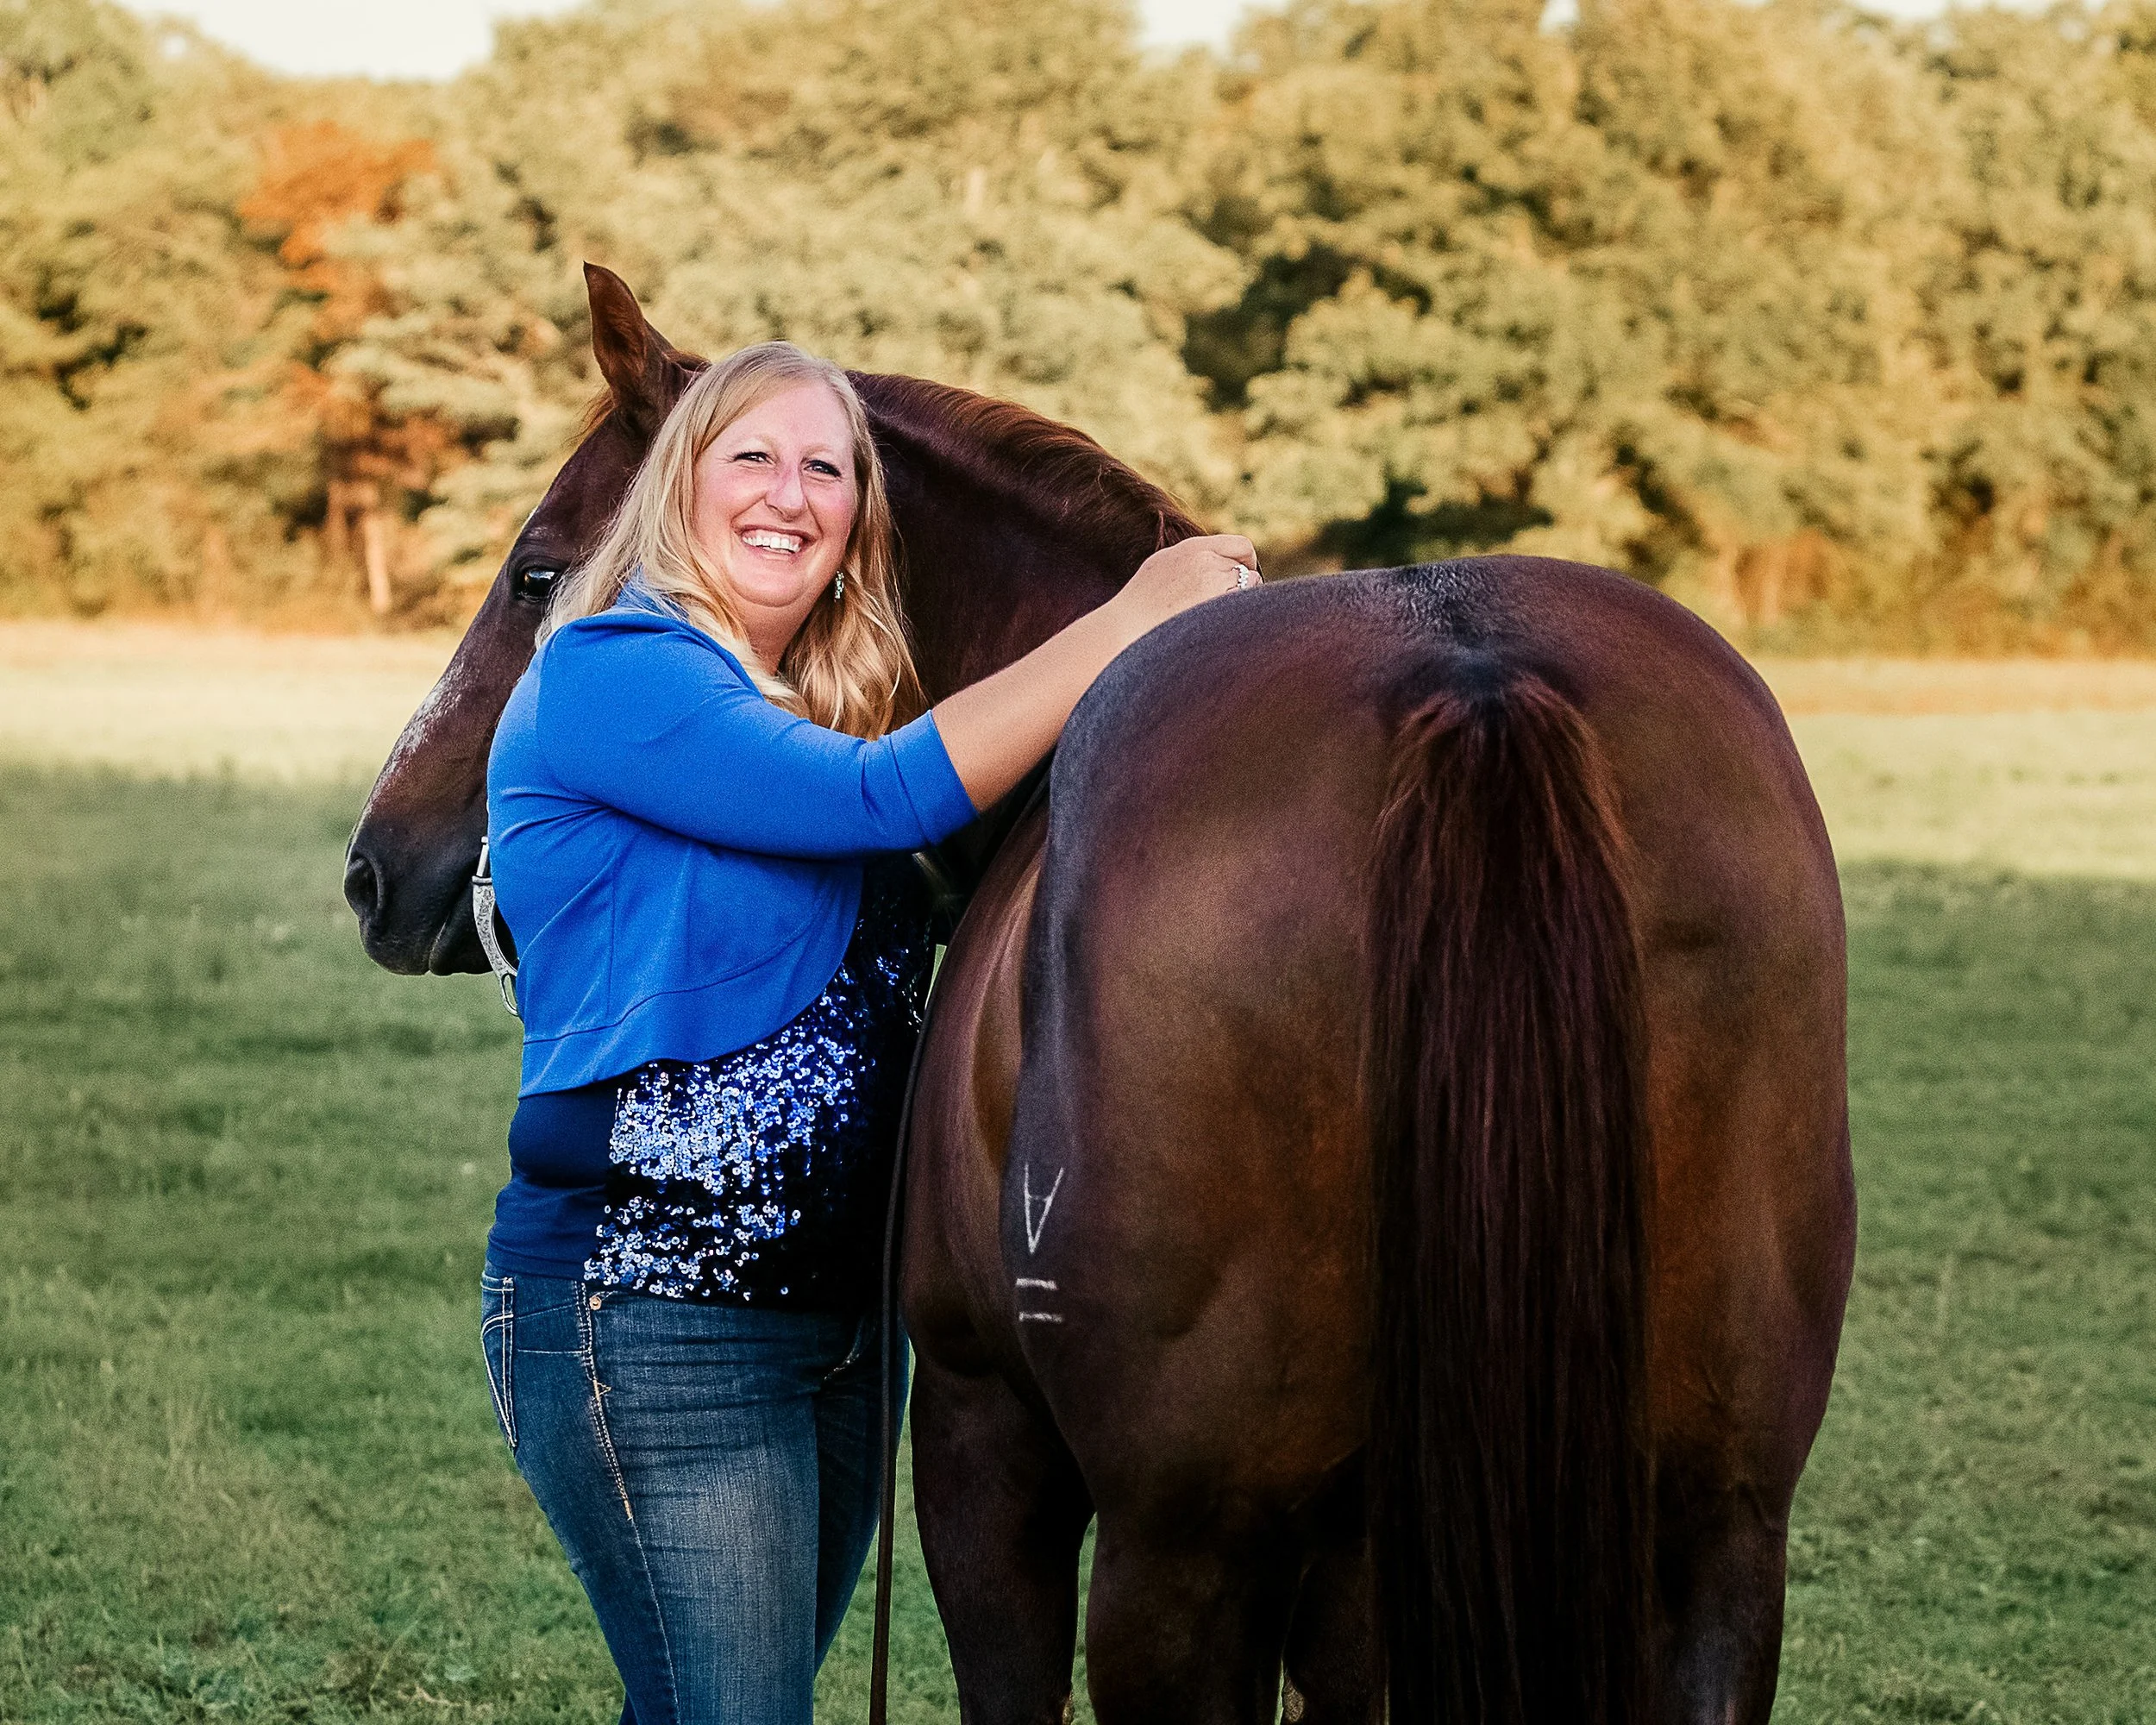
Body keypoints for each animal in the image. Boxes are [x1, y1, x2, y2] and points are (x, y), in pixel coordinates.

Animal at [347, 263, 1855, 1725]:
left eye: (536, 573)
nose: (373, 869)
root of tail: (1471, 681)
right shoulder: (1365, 1546)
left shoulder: (980, 1440)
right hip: (1717, 1521)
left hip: (1180, 1545)